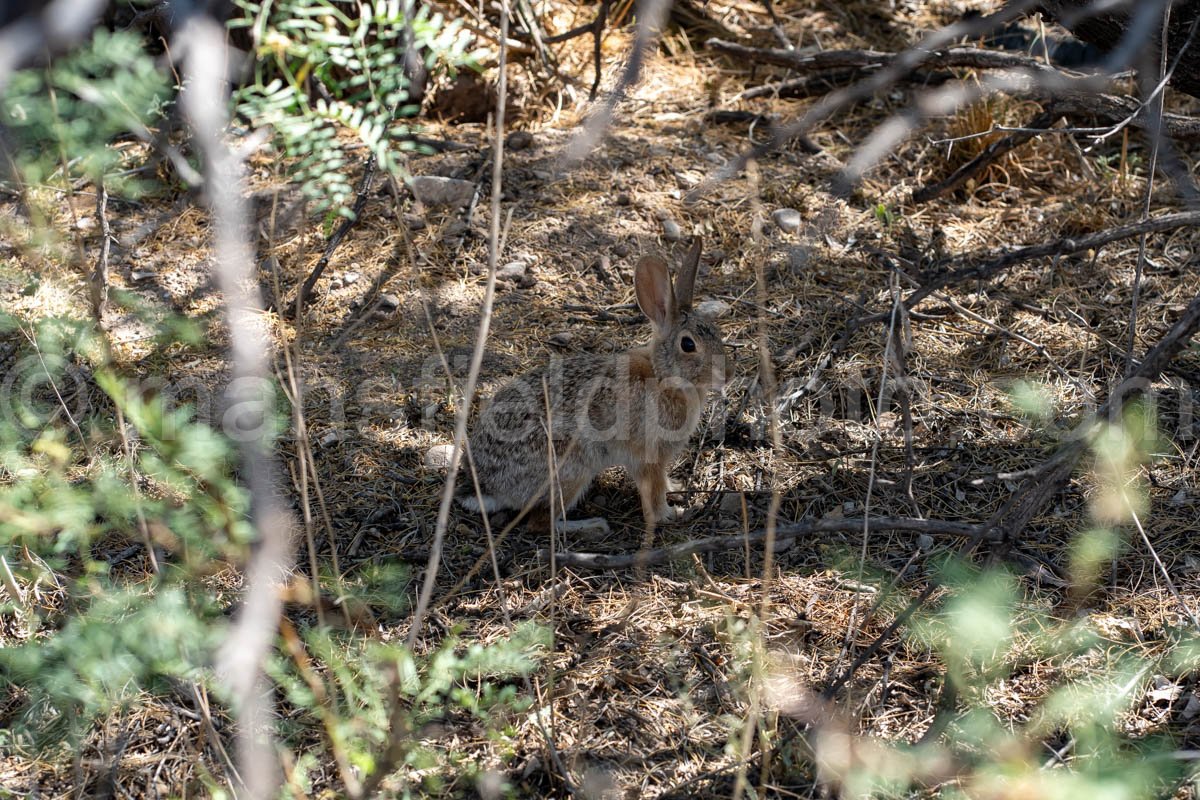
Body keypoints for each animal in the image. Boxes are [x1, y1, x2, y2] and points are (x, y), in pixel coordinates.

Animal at [456, 235, 720, 532]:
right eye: (688, 345)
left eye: (717, 332)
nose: (729, 372)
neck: (662, 375)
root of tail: (487, 485)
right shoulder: (648, 455)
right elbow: (653, 492)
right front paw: (670, 513)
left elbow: (662, 481)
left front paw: (675, 487)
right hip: (571, 470)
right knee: (541, 523)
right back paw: (592, 525)